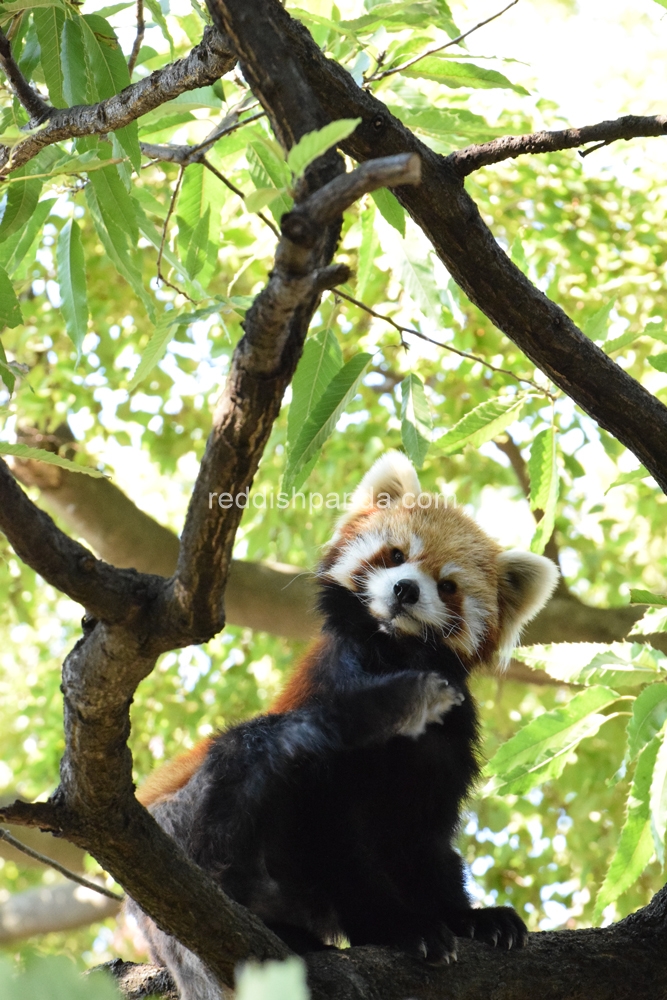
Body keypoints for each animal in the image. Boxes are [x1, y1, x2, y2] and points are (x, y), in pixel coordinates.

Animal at [130, 456, 560, 1000]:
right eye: (396, 555)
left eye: (447, 586)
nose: (405, 589)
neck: (393, 653)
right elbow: (340, 847)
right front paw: (404, 929)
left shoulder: (443, 752)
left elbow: (425, 846)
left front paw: (470, 919)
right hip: (182, 820)